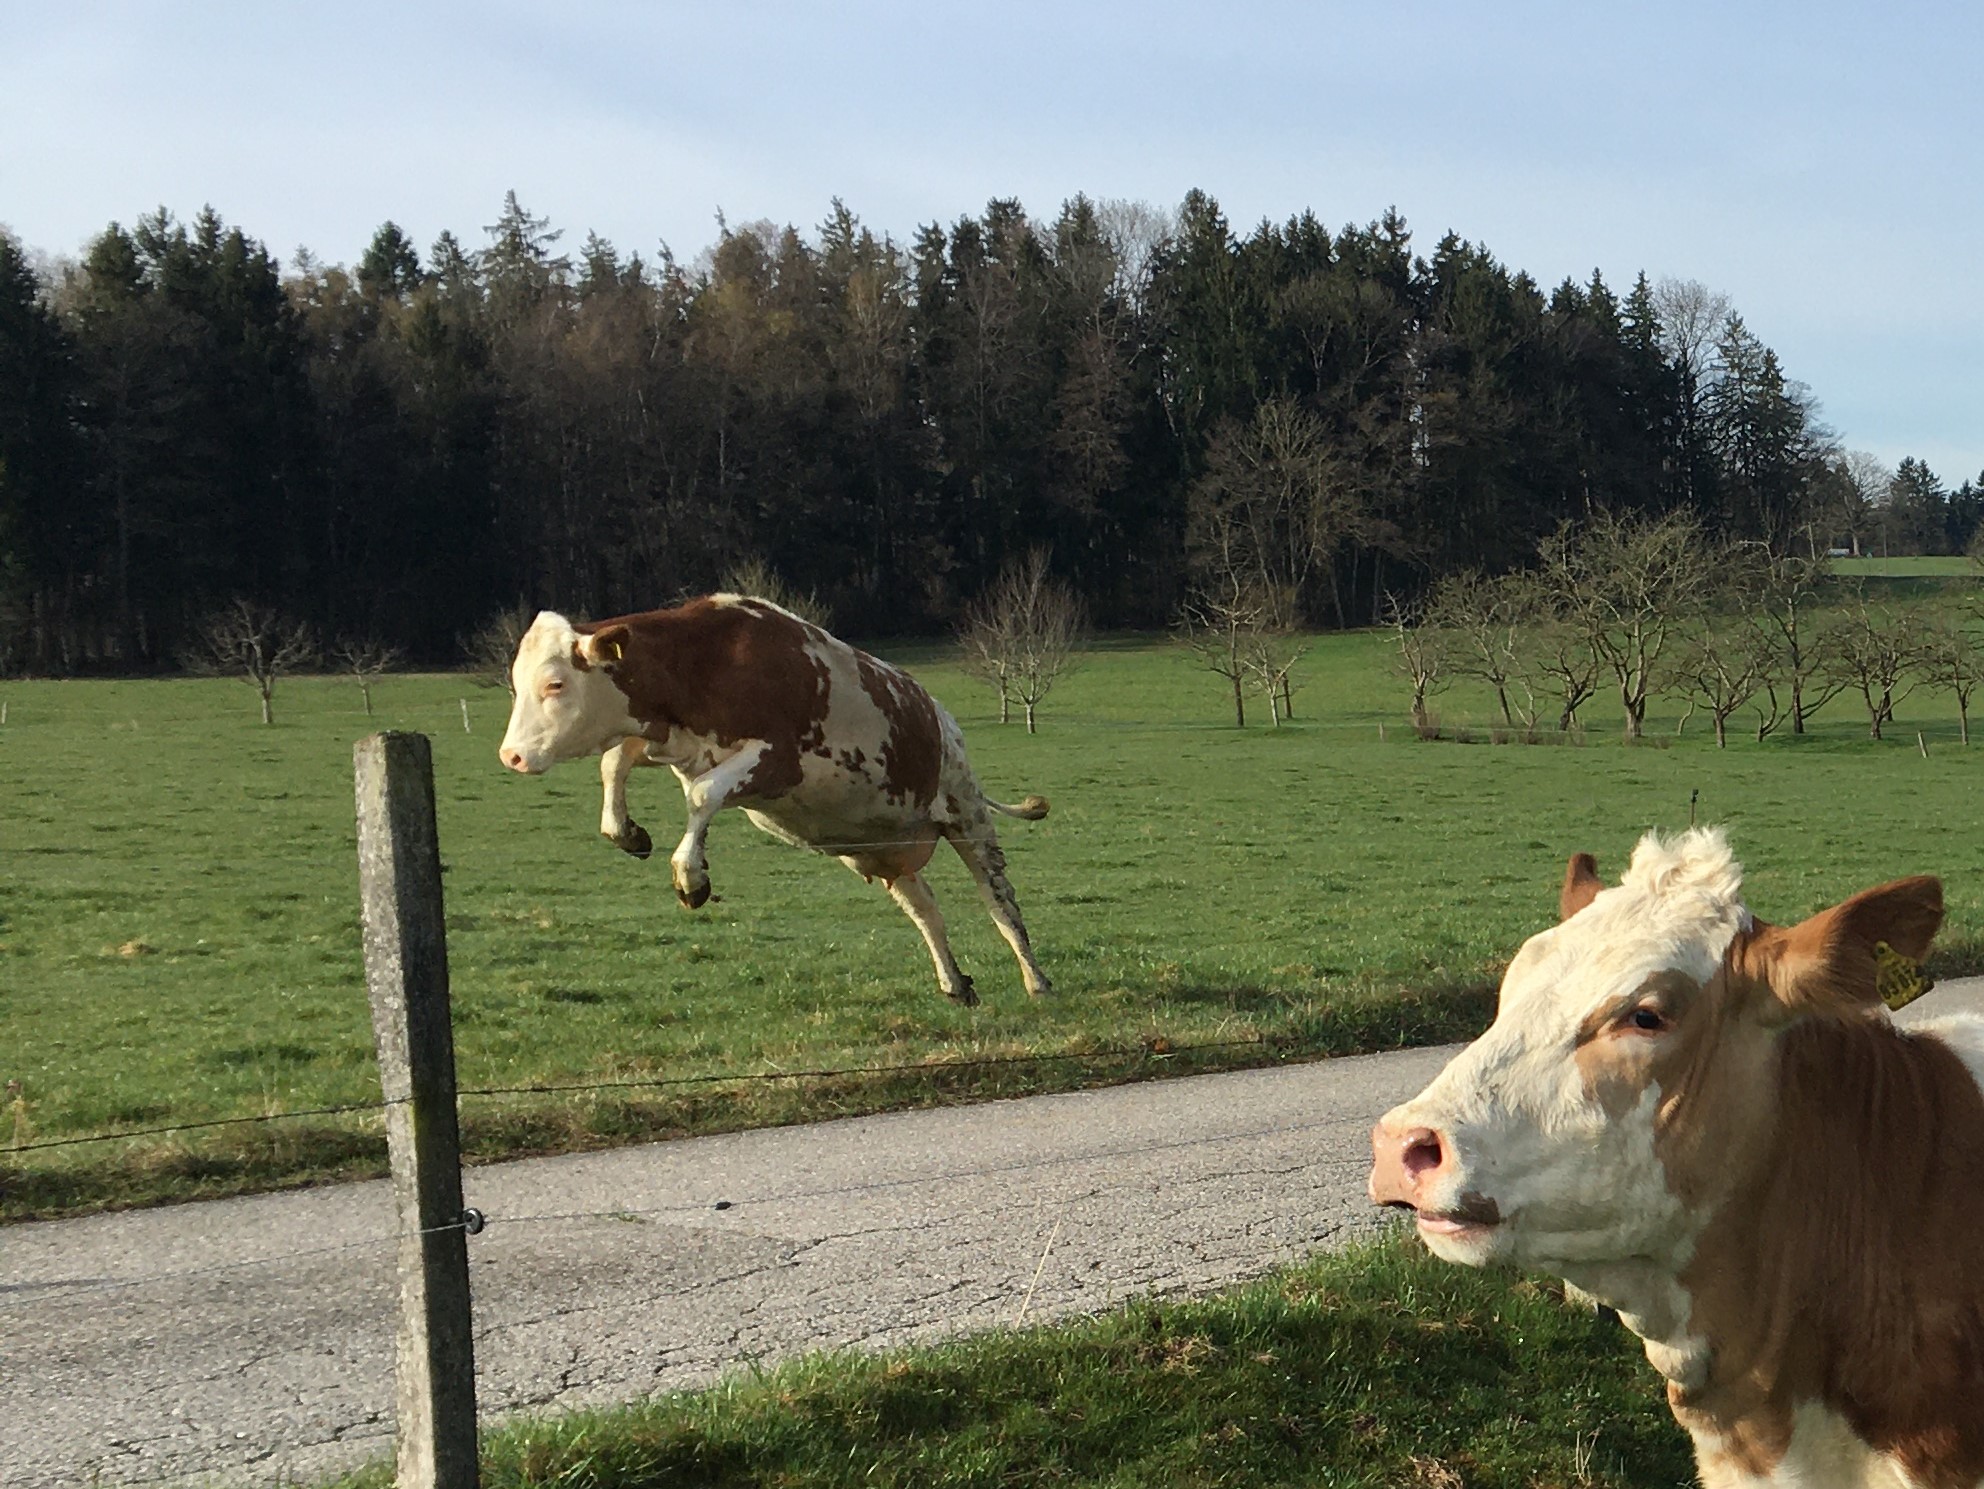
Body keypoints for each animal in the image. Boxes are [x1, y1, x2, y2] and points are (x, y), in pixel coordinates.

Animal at [497, 595, 1052, 1005]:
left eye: (555, 684)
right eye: (516, 686)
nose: (511, 755)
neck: (706, 662)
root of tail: (942, 719)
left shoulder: (775, 760)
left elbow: (702, 794)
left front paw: (691, 877)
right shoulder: (669, 740)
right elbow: (614, 763)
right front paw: (628, 833)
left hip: (966, 815)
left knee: (1000, 903)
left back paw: (1036, 980)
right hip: (885, 851)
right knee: (927, 912)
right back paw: (955, 982)